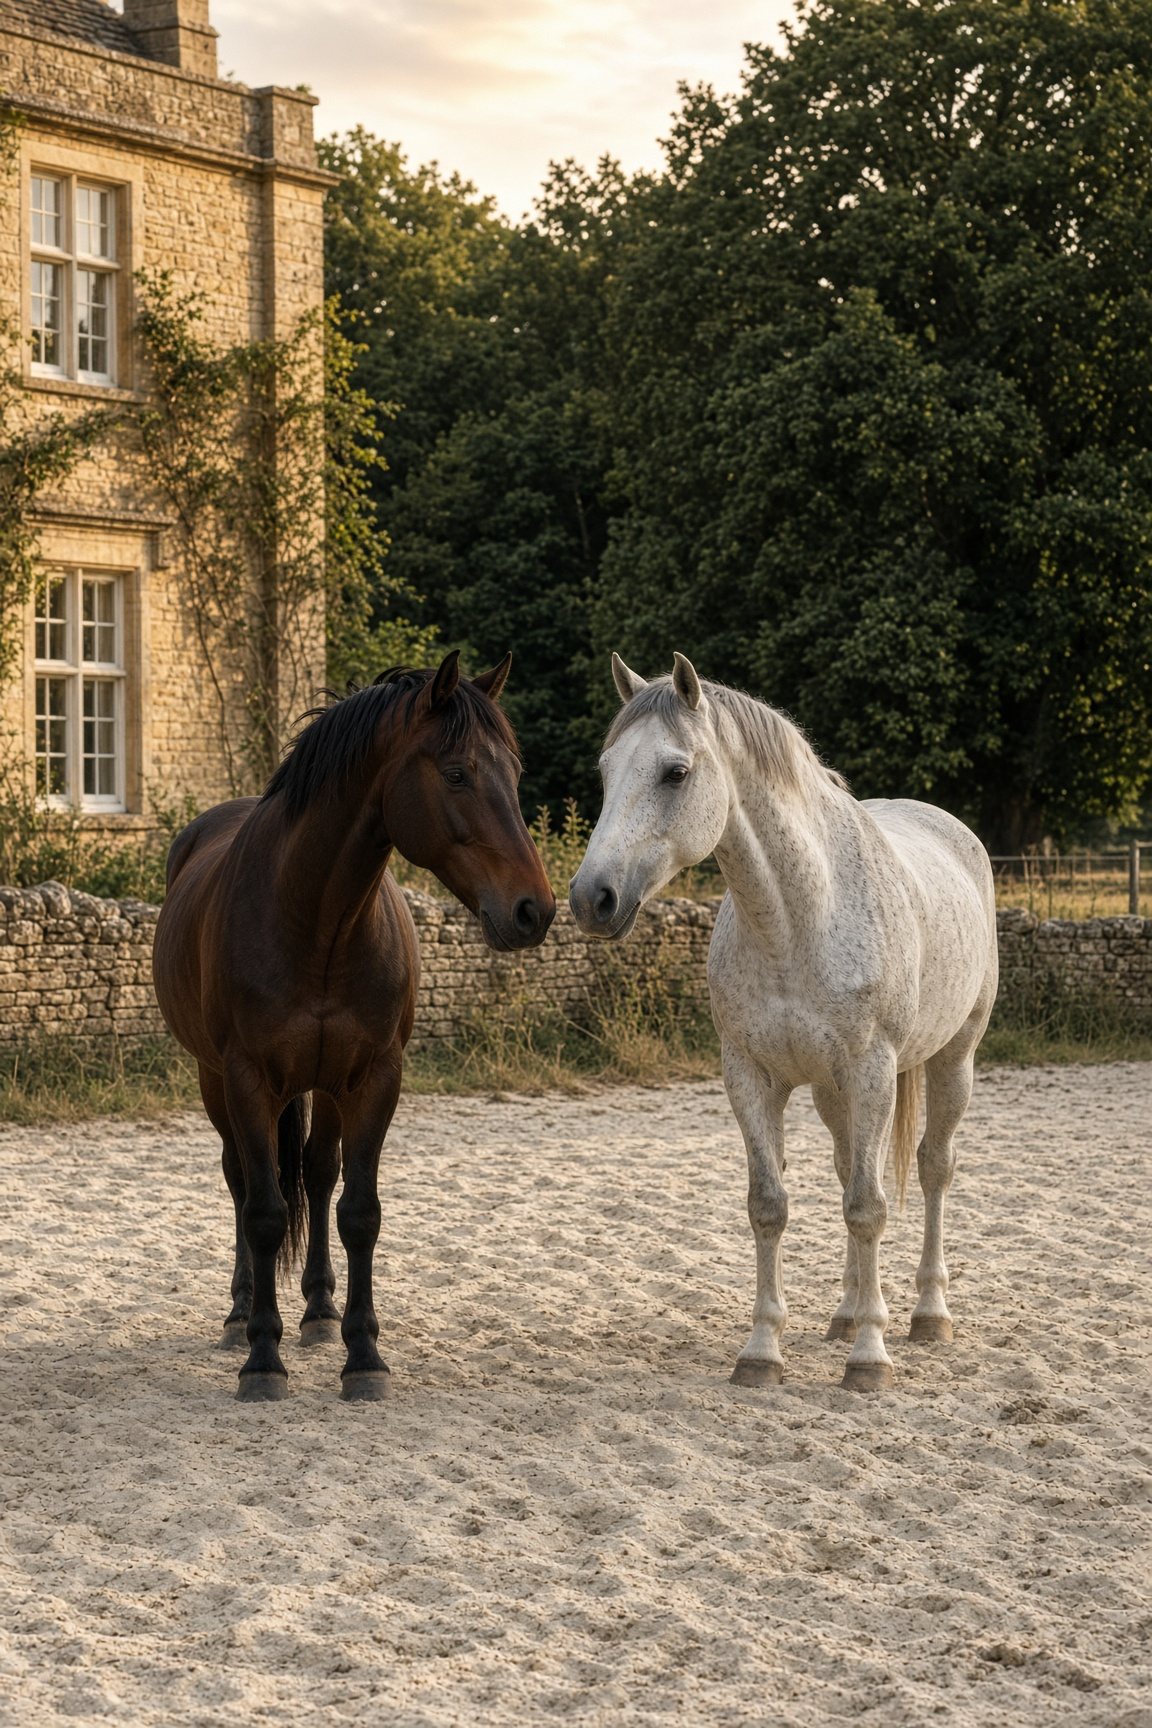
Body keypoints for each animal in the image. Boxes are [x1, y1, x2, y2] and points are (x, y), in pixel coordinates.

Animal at [153, 652, 555, 1402]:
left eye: (514, 774)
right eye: (456, 773)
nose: (533, 910)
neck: (319, 921)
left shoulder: (373, 1078)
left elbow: (358, 1211)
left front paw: (362, 1353)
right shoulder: (247, 1079)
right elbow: (262, 1211)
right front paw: (263, 1359)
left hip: (324, 1085)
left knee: (316, 1173)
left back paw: (316, 1310)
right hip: (215, 1079)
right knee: (241, 1182)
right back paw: (241, 1313)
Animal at [569, 652, 997, 1392]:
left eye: (675, 771)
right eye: (604, 769)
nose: (591, 898)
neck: (797, 920)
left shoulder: (872, 1071)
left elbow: (869, 1207)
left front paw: (869, 1360)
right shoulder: (750, 1076)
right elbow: (770, 1205)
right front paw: (763, 1350)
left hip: (952, 1061)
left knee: (933, 1169)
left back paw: (925, 1315)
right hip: (832, 1092)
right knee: (849, 1169)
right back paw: (848, 1314)